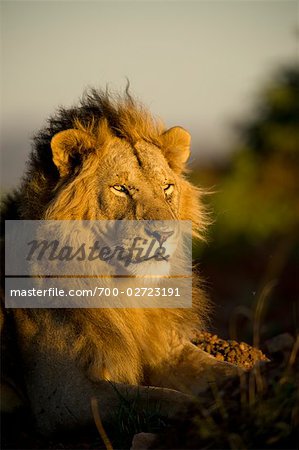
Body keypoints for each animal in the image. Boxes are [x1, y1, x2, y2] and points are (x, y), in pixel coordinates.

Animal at [0, 88, 239, 436]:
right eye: (121, 189)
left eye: (167, 187)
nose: (164, 233)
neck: (127, 291)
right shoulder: (64, 395)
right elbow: (160, 398)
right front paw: (206, 413)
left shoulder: (170, 349)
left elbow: (227, 369)